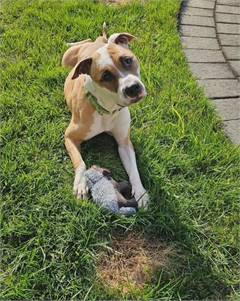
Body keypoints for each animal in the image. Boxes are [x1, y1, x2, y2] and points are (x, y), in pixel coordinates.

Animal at [62, 25, 148, 206]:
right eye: (106, 76)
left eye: (127, 60)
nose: (132, 88)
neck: (108, 109)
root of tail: (98, 42)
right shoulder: (69, 137)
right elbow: (80, 163)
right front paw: (80, 184)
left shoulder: (124, 143)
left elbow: (134, 170)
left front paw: (141, 193)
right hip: (65, 59)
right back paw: (69, 42)